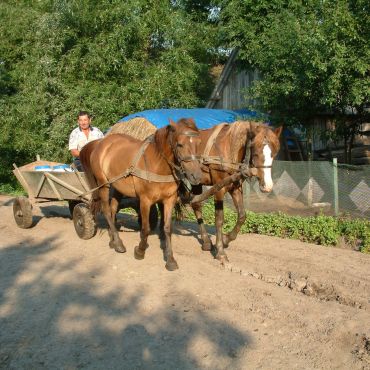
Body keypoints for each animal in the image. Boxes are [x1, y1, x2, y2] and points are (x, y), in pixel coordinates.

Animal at [191, 120, 284, 262]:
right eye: (255, 152)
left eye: (274, 153)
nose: (267, 186)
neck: (228, 148)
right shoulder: (219, 189)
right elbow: (219, 219)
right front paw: (220, 251)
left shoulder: (235, 188)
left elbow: (242, 216)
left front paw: (226, 239)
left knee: (196, 205)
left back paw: (206, 241)